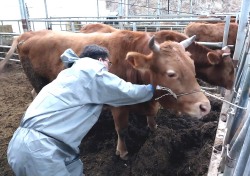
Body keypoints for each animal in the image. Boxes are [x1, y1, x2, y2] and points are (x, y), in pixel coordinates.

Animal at [0, 29, 211, 160]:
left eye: (193, 67)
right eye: (171, 73)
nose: (205, 106)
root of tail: (29, 34)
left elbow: (152, 117)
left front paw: (153, 128)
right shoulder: (118, 104)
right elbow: (122, 129)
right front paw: (122, 152)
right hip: (37, 80)